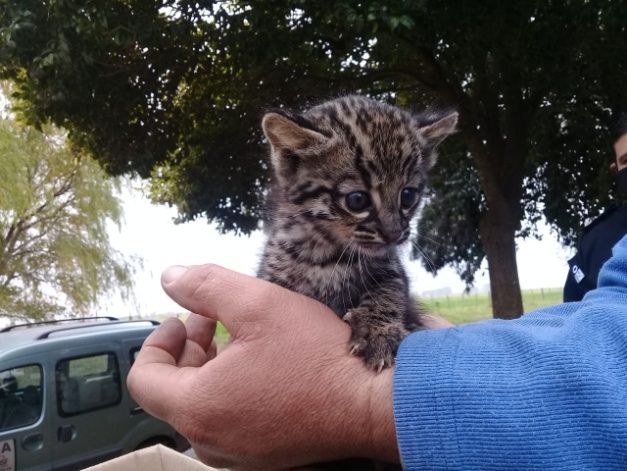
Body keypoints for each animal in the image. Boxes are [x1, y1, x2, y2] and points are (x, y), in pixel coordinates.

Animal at [256, 94, 456, 370]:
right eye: (357, 200)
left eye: (408, 196)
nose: (394, 234)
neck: (327, 251)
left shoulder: (391, 270)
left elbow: (389, 289)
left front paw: (378, 332)